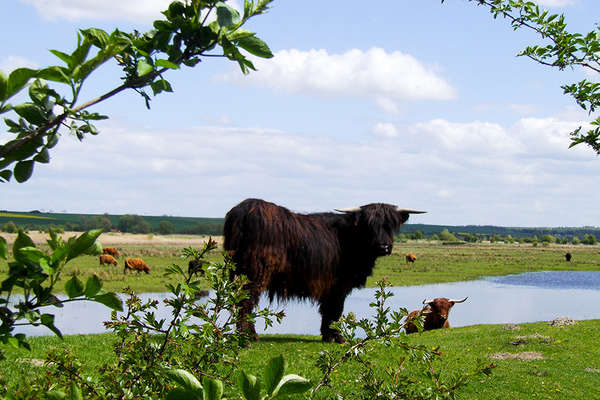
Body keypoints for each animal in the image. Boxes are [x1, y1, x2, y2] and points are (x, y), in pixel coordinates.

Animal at [223, 198, 424, 342]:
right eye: (369, 226)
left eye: (390, 225)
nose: (384, 246)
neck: (352, 239)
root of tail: (242, 210)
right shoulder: (338, 286)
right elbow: (334, 311)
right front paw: (337, 337)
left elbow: (328, 311)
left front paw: (328, 335)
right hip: (254, 272)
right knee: (246, 302)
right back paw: (248, 337)